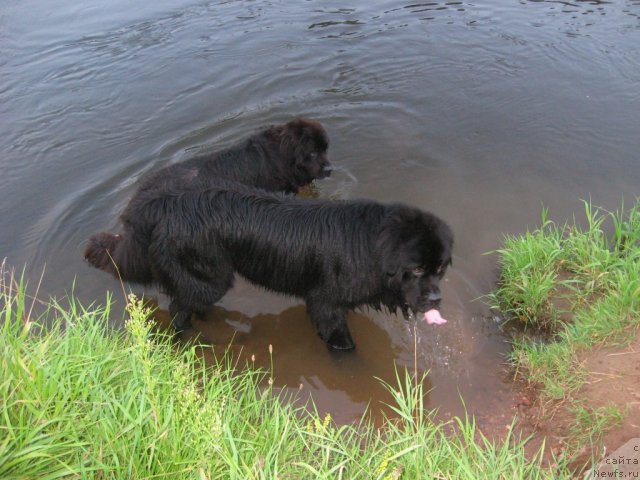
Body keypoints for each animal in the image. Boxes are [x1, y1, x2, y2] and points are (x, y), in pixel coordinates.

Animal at [85, 182, 452, 350]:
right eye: (416, 270)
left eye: (440, 269)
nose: (436, 299)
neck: (368, 246)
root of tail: (160, 204)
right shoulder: (325, 304)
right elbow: (342, 343)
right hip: (209, 275)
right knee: (178, 308)